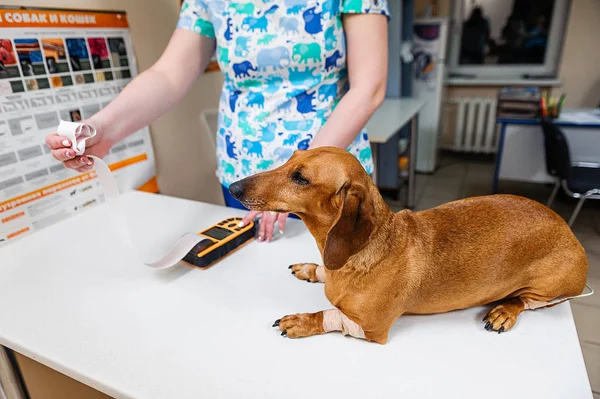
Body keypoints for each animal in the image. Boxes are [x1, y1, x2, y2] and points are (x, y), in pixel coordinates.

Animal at [229, 147, 584, 344]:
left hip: (546, 289)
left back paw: (504, 311)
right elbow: (323, 274)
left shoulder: (369, 328)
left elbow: (329, 314)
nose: (234, 188)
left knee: (526, 301)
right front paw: (310, 269)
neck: (360, 254)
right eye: (290, 158)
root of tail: (569, 231)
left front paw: (303, 321)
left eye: (301, 178)